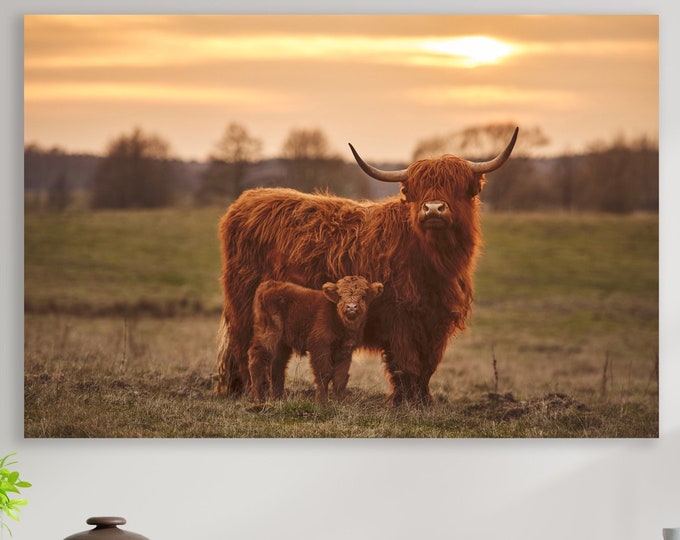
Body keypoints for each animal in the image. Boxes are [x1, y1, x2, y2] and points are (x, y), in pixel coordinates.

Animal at [248, 276, 384, 402]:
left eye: (364, 296)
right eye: (340, 296)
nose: (351, 307)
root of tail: (269, 284)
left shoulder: (345, 350)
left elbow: (340, 377)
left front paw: (341, 402)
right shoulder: (320, 346)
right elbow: (324, 373)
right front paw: (321, 402)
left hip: (282, 344)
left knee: (277, 366)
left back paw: (278, 398)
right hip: (269, 334)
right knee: (257, 359)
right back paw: (258, 398)